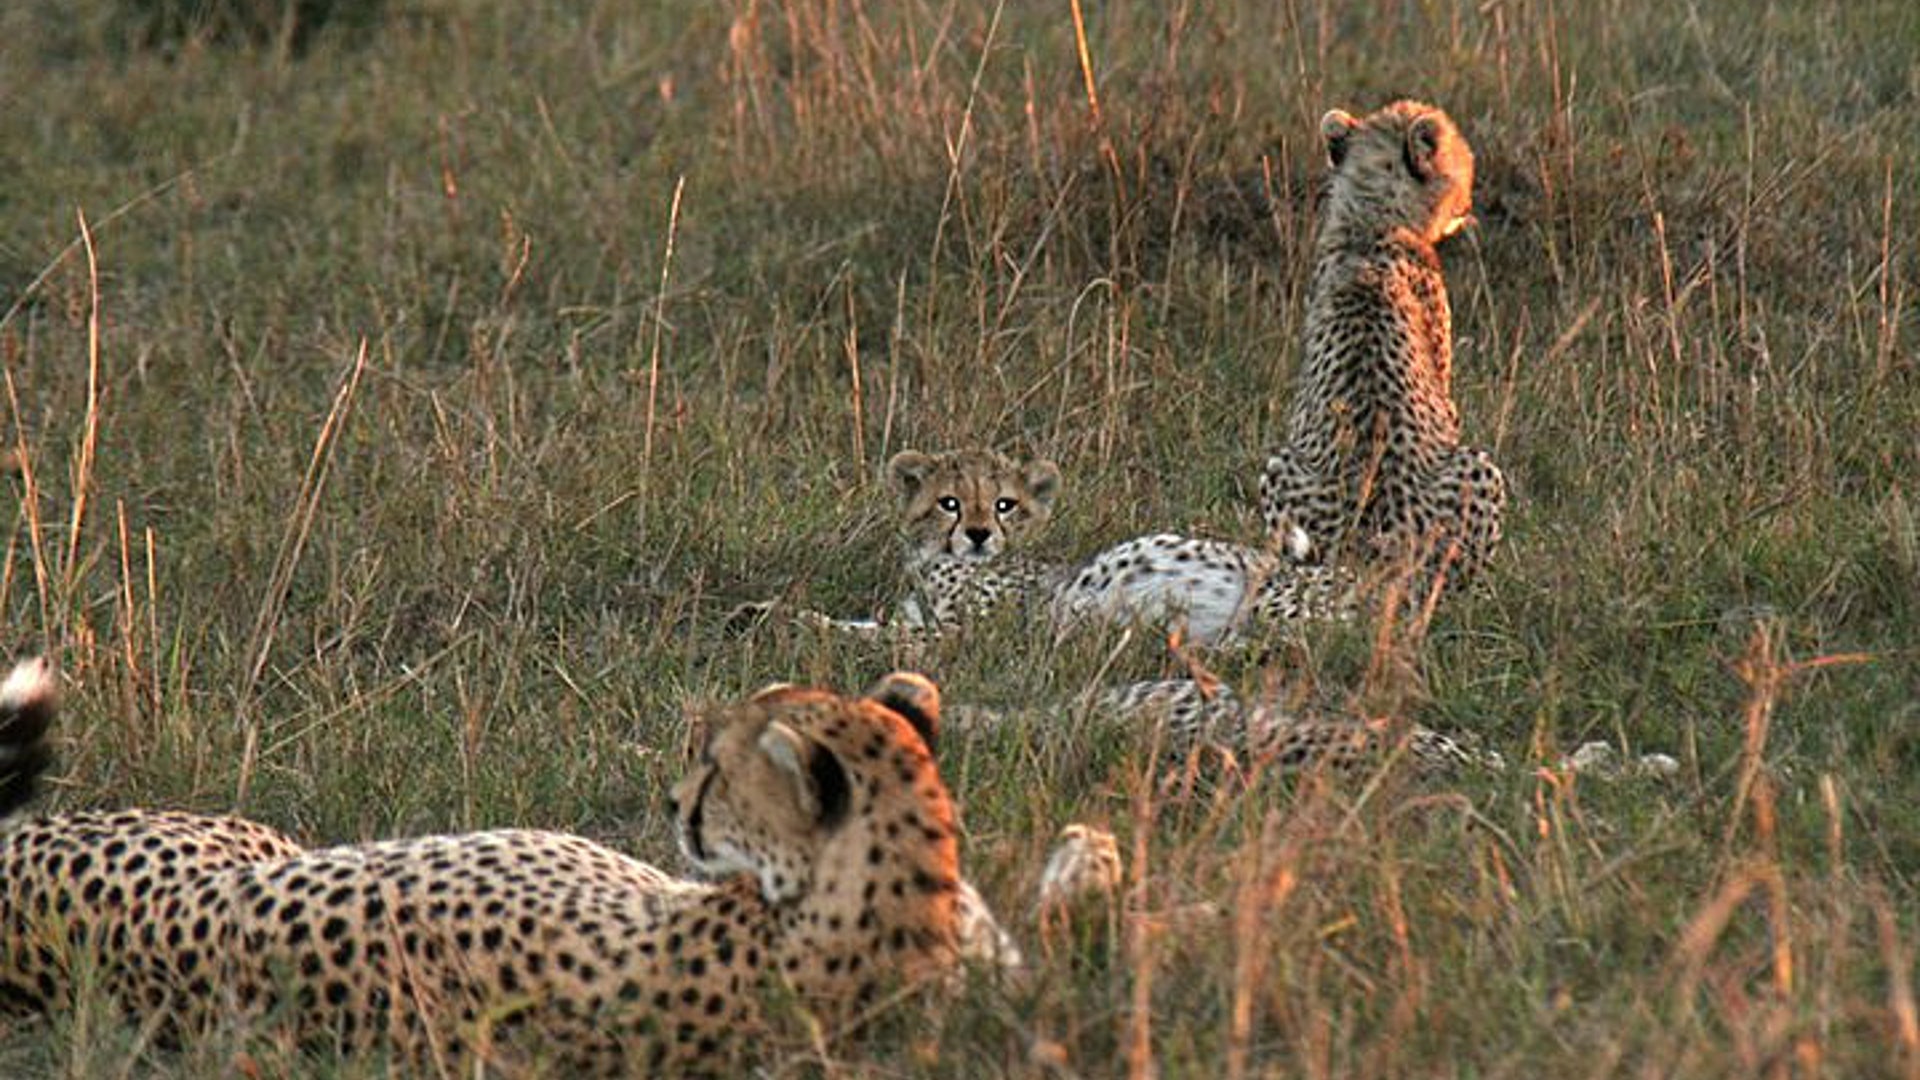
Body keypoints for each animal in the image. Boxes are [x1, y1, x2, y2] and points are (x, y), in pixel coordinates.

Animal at [1259, 99, 1506, 597]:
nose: (1469, 205)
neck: (1373, 222)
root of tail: (1372, 546)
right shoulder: (1446, 398)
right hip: (1479, 467)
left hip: (1281, 465)